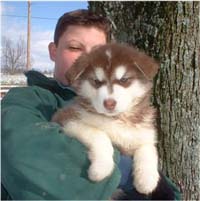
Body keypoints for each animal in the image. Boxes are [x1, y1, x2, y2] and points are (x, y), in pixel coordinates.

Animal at [52, 43, 173, 199]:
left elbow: (148, 149)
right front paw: (101, 168)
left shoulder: (145, 132)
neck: (118, 119)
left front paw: (147, 180)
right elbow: (99, 135)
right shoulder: (68, 119)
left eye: (123, 80)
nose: (109, 103)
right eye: (97, 82)